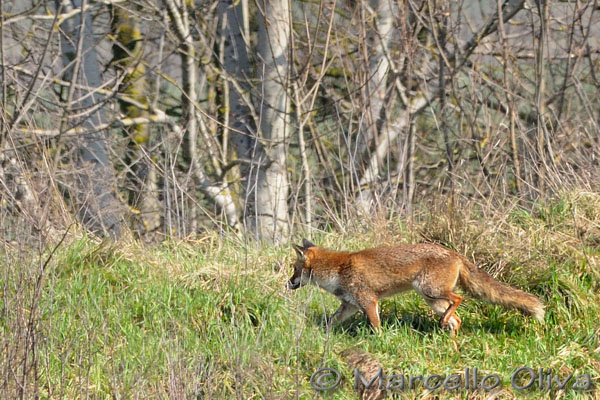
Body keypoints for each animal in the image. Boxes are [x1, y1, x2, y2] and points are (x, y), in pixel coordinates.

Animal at [286, 238, 544, 334]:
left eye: (294, 269)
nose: (288, 283)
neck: (337, 270)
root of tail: (454, 253)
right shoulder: (350, 305)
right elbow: (330, 322)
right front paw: (320, 336)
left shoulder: (368, 302)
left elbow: (376, 327)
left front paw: (379, 343)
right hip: (433, 300)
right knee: (456, 319)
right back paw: (450, 343)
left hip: (432, 291)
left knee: (459, 300)